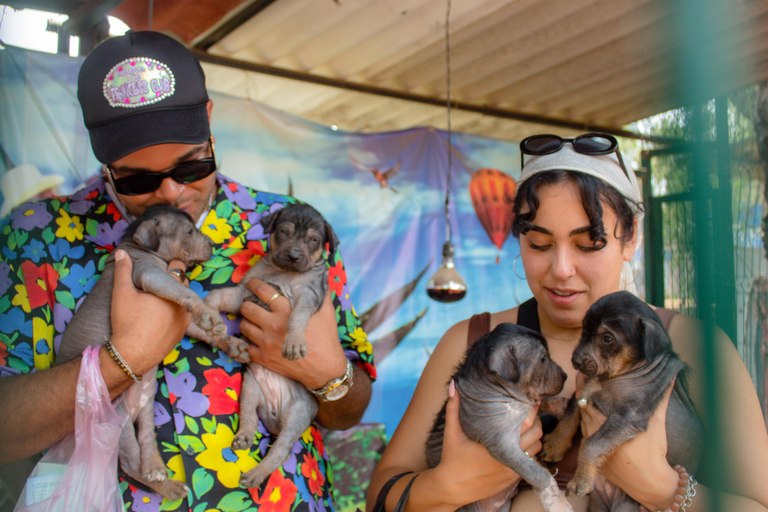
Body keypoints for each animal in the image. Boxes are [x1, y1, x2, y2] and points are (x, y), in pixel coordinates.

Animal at [56, 204, 228, 500]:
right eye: (189, 231)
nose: (213, 244)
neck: (136, 245)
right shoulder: (147, 272)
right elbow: (185, 292)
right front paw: (208, 313)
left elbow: (198, 328)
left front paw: (231, 343)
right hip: (115, 419)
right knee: (130, 463)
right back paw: (165, 484)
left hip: (146, 406)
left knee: (146, 439)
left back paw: (157, 468)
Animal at [424, 324, 572, 512]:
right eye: (543, 358)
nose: (566, 375)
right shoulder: (502, 445)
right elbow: (539, 474)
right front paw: (558, 503)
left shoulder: (531, 405)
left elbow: (551, 400)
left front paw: (572, 403)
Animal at [540, 292, 704, 512]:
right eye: (584, 329)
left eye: (607, 338)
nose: (574, 361)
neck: (614, 376)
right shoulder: (583, 392)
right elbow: (569, 415)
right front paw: (555, 444)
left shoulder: (628, 416)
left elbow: (592, 443)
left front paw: (580, 480)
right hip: (598, 504)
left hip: (626, 505)